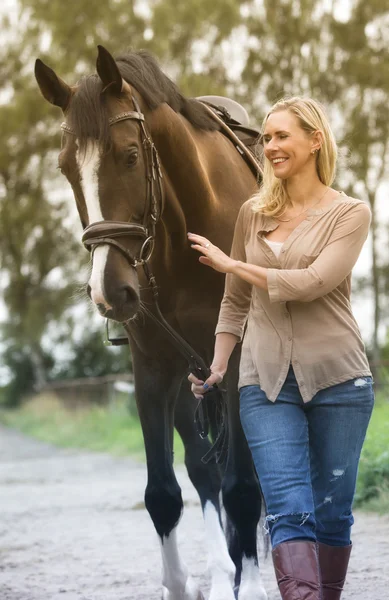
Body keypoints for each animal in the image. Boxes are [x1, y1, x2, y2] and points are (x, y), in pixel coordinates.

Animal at [34, 47, 266, 600]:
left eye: (129, 157)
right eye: (66, 168)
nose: (109, 290)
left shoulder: (239, 361)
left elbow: (244, 487)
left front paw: (250, 584)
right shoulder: (154, 370)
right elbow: (163, 493)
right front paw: (186, 584)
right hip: (189, 381)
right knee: (203, 469)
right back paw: (222, 573)